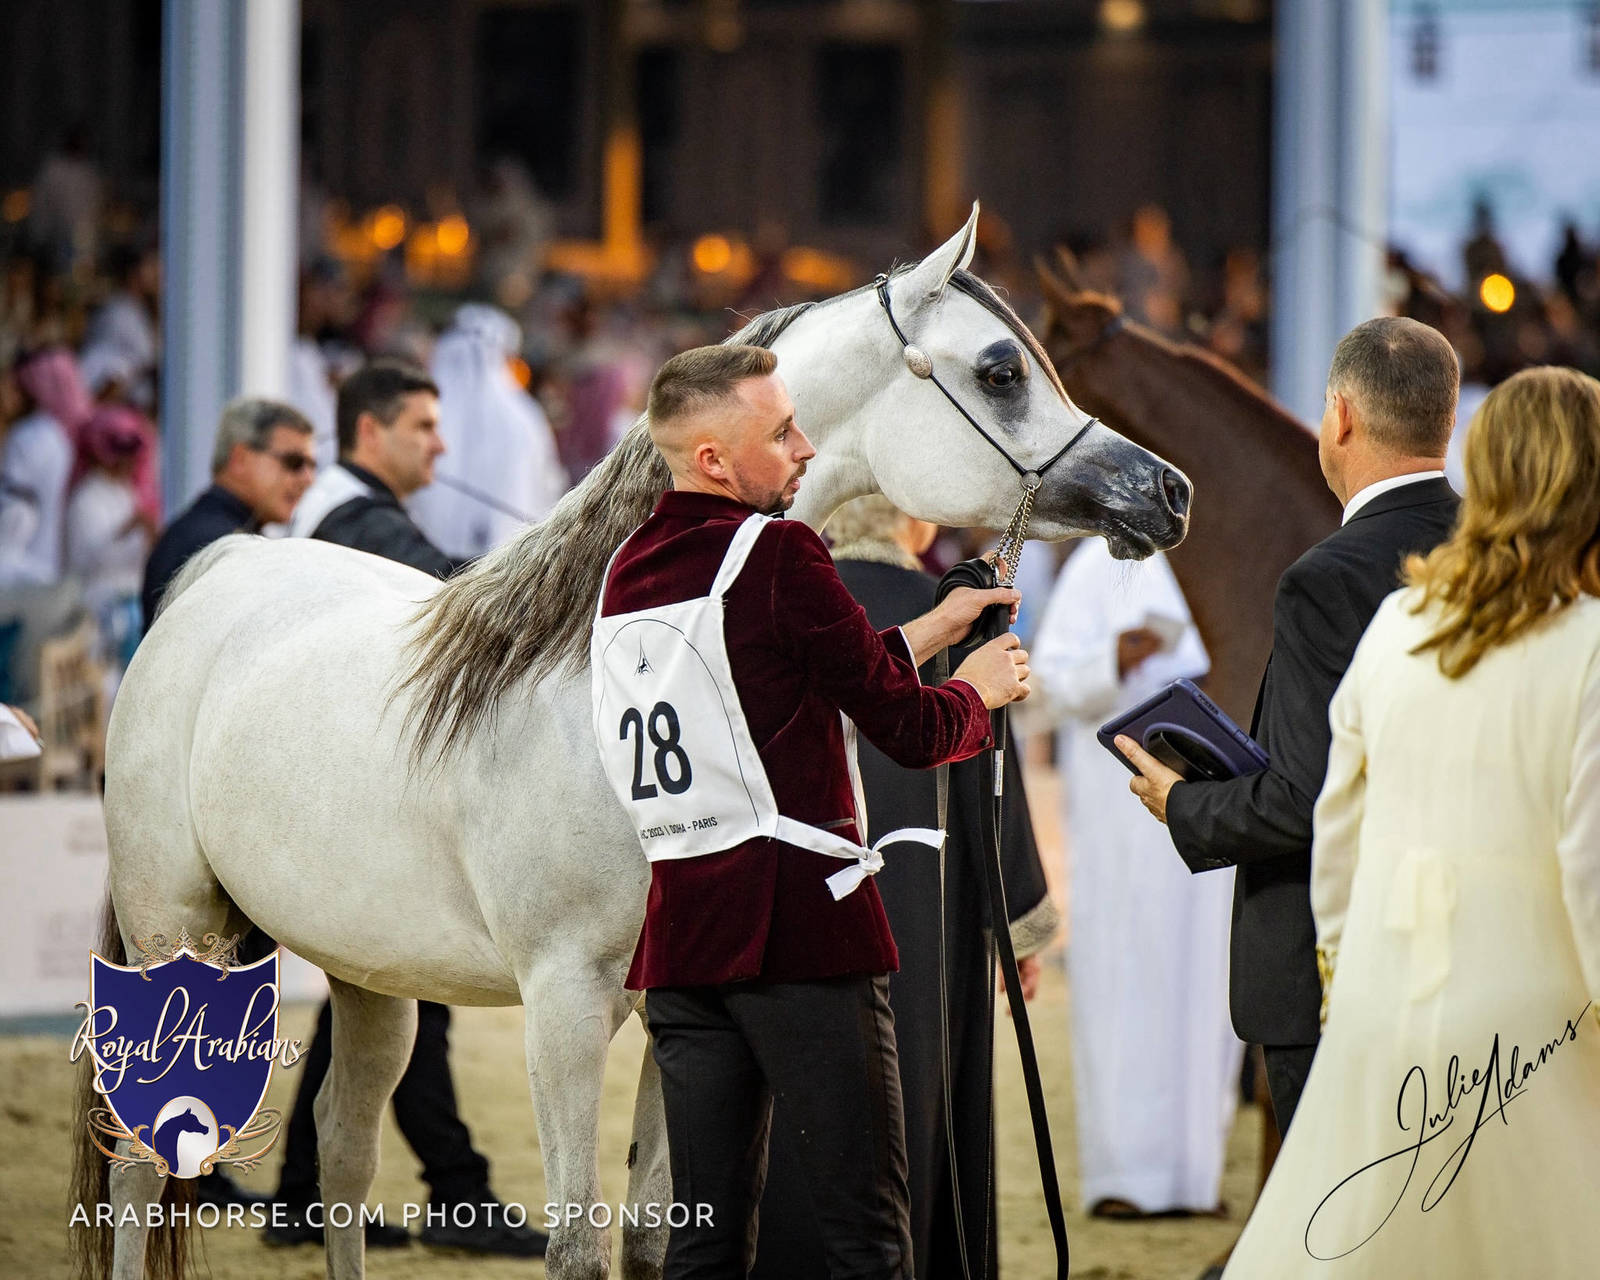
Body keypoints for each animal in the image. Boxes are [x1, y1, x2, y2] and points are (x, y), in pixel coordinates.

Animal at [74, 206, 1191, 1280]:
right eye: (1001, 371)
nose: (1166, 491)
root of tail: (221, 570)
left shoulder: (677, 1007)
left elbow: (664, 1234)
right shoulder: (564, 1004)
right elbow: (578, 1244)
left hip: (370, 969)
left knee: (345, 1151)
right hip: (176, 932)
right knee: (140, 1165)